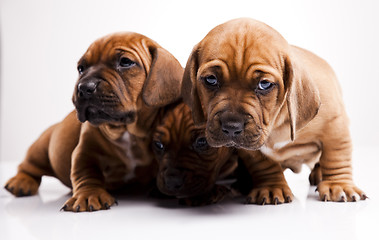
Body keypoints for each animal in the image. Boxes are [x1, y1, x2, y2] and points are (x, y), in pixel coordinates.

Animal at [4, 32, 184, 212]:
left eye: (125, 62)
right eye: (81, 68)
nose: (84, 87)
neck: (126, 130)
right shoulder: (85, 152)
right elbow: (85, 172)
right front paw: (89, 195)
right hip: (41, 149)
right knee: (28, 166)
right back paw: (21, 182)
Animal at [183, 17, 366, 203]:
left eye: (264, 84)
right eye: (211, 80)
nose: (231, 127)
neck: (275, 125)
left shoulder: (335, 125)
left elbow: (336, 156)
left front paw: (339, 185)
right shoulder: (252, 148)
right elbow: (264, 164)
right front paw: (271, 187)